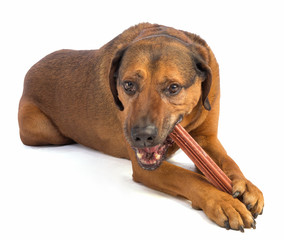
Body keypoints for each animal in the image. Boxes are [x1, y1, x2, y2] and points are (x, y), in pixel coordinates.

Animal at [18, 23, 264, 232]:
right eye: (128, 85)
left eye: (173, 88)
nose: (142, 136)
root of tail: (30, 70)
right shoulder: (145, 167)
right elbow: (189, 177)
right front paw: (222, 200)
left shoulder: (205, 138)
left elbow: (227, 161)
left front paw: (245, 185)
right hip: (42, 129)